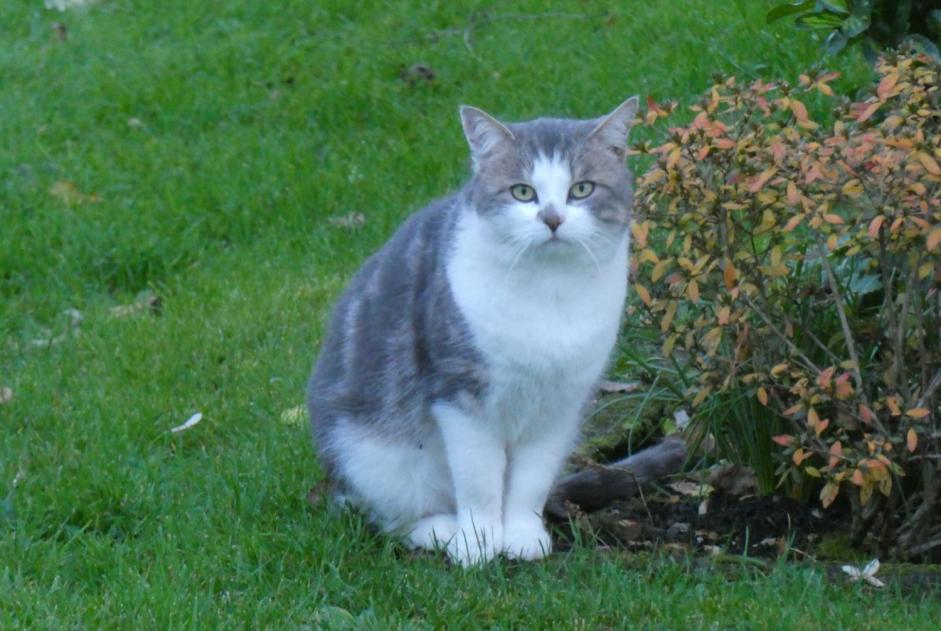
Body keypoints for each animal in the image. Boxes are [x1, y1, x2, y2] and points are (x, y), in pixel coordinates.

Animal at [308, 99, 640, 568]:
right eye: (522, 192)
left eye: (582, 189)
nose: (552, 218)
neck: (551, 292)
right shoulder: (461, 395)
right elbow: (479, 480)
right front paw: (478, 543)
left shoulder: (558, 405)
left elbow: (531, 480)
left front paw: (521, 535)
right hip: (370, 455)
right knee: (389, 516)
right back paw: (442, 529)